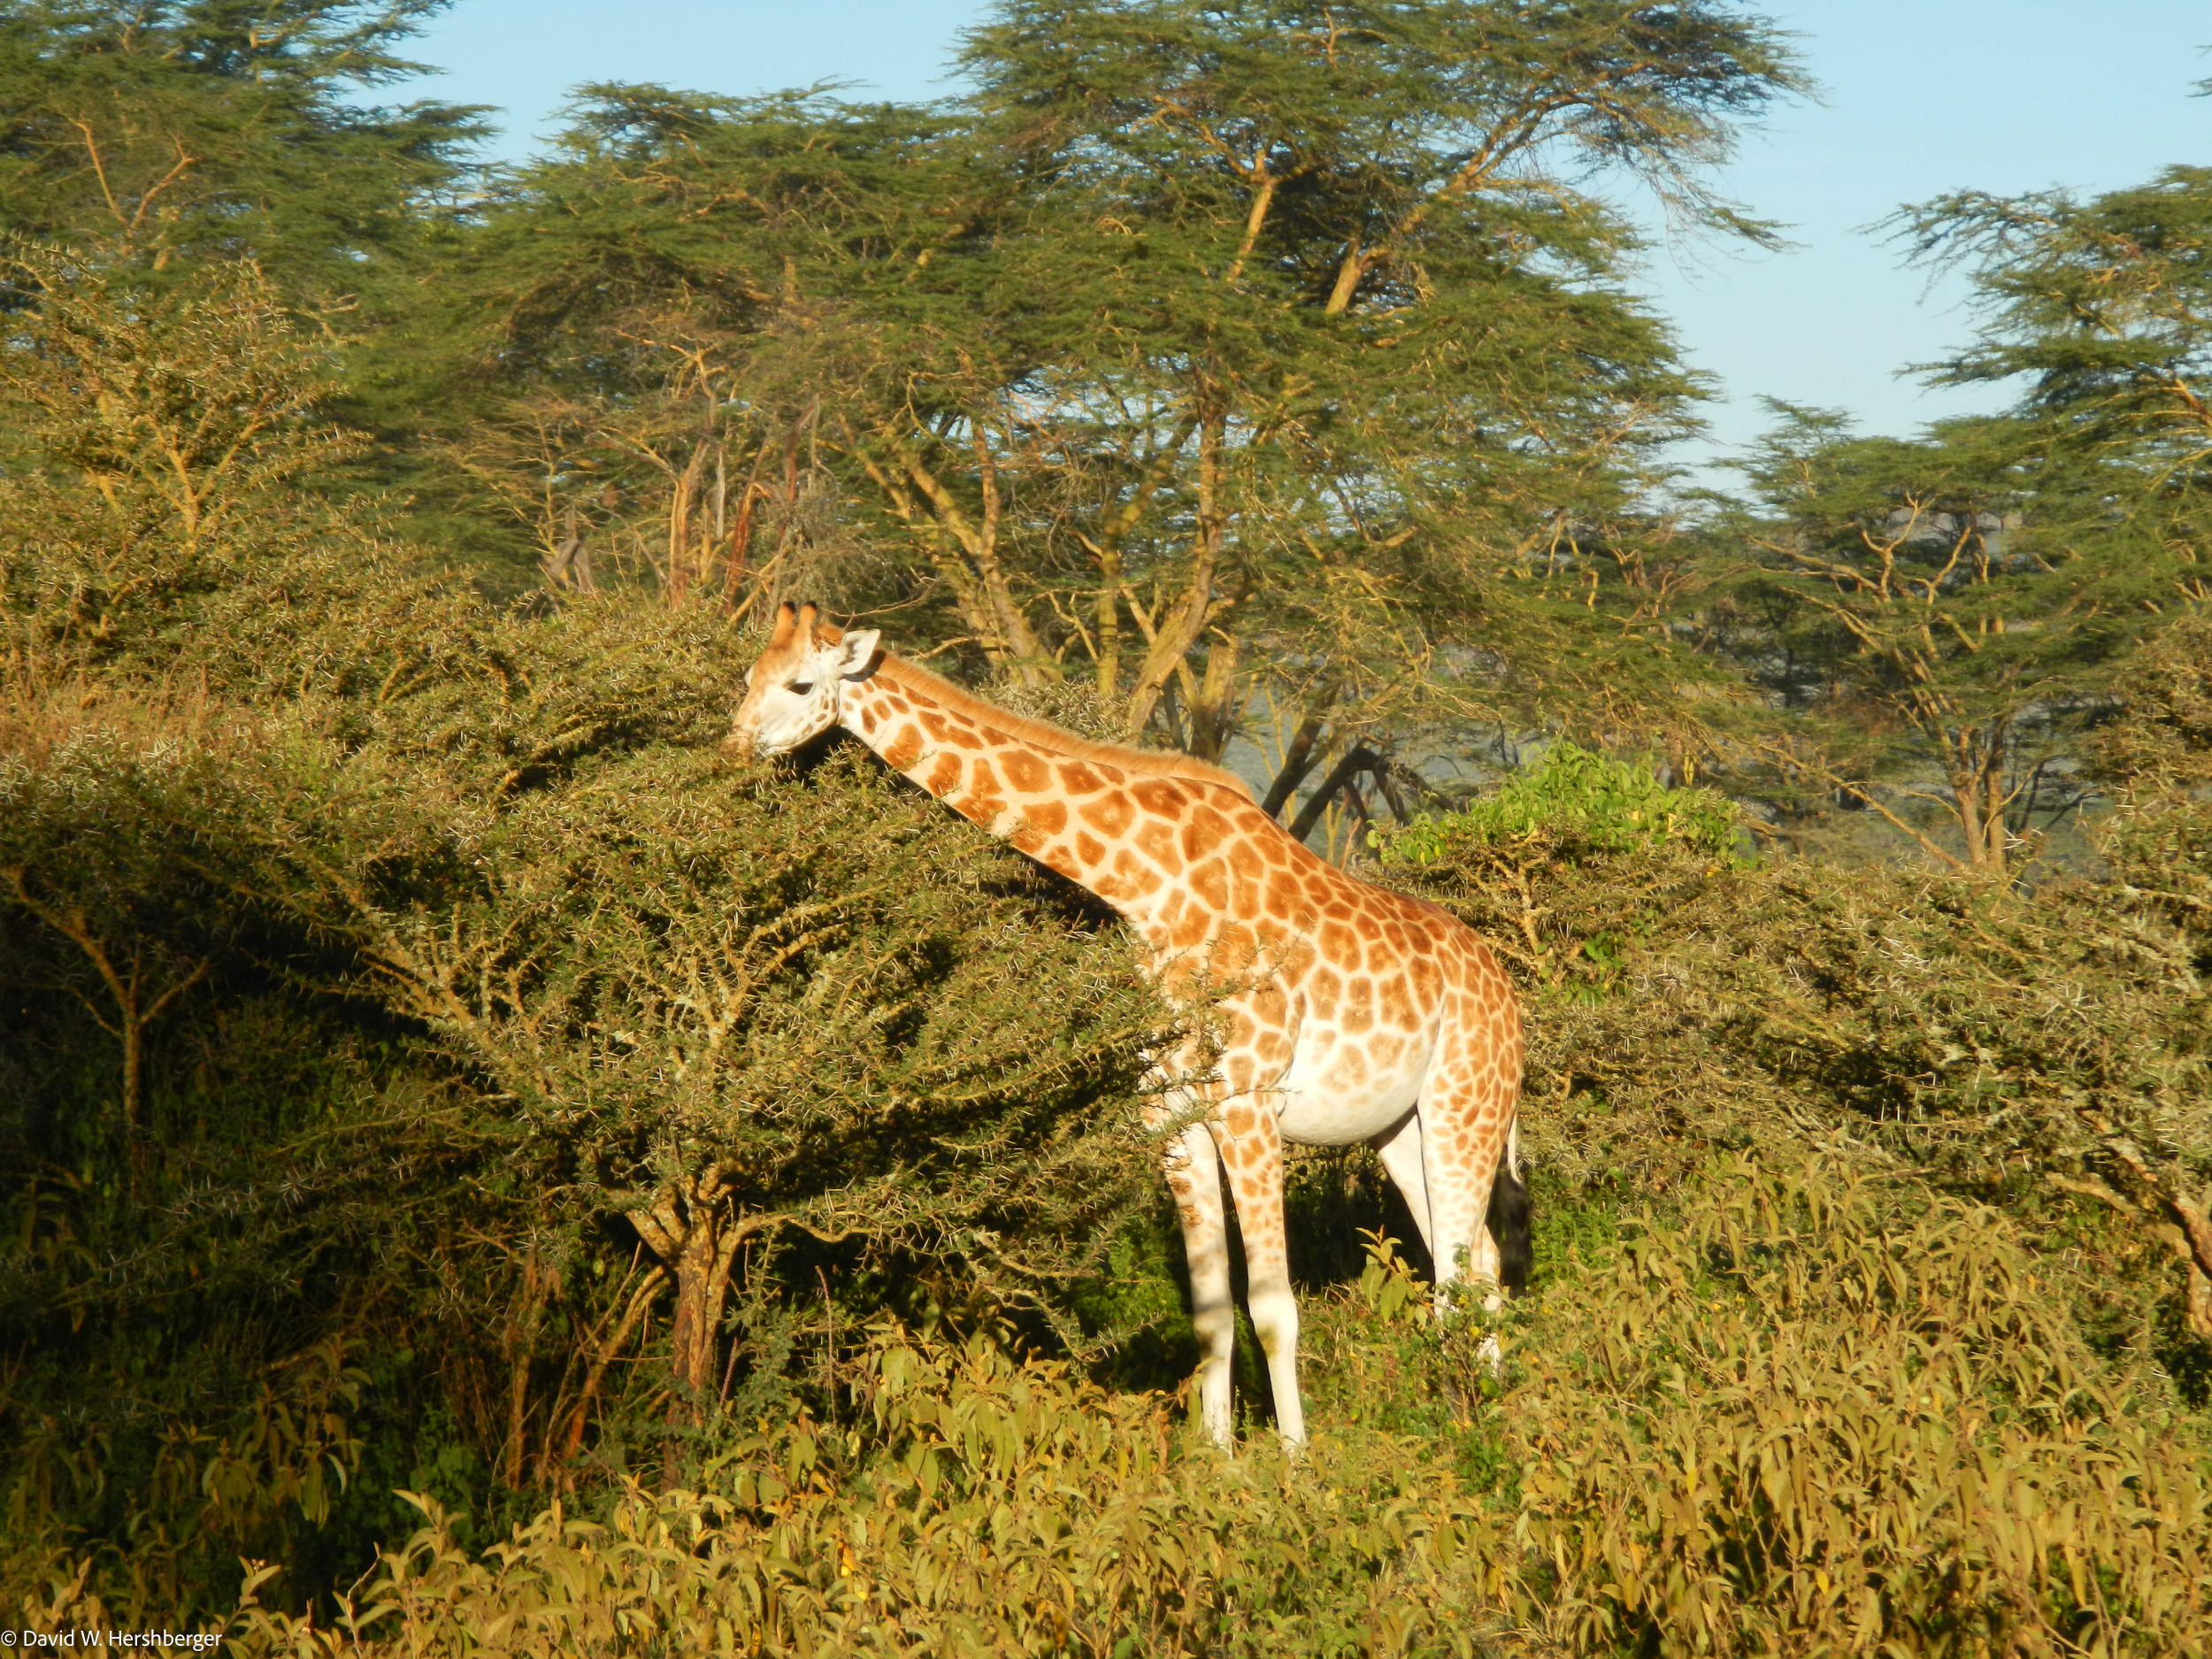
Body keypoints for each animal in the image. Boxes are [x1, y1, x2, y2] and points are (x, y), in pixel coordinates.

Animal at [726, 603, 1528, 1447]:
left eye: (800, 683)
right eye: (747, 674)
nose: (730, 749)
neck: (1146, 889)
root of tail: (1510, 998)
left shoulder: (1248, 1107)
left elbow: (1274, 1307)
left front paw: (1295, 1461)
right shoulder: (1171, 1113)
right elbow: (1211, 1310)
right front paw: (1218, 1456)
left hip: (1463, 1108)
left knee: (1462, 1268)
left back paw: (1467, 1424)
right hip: (1400, 1128)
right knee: (1474, 1259)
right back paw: (1487, 1403)